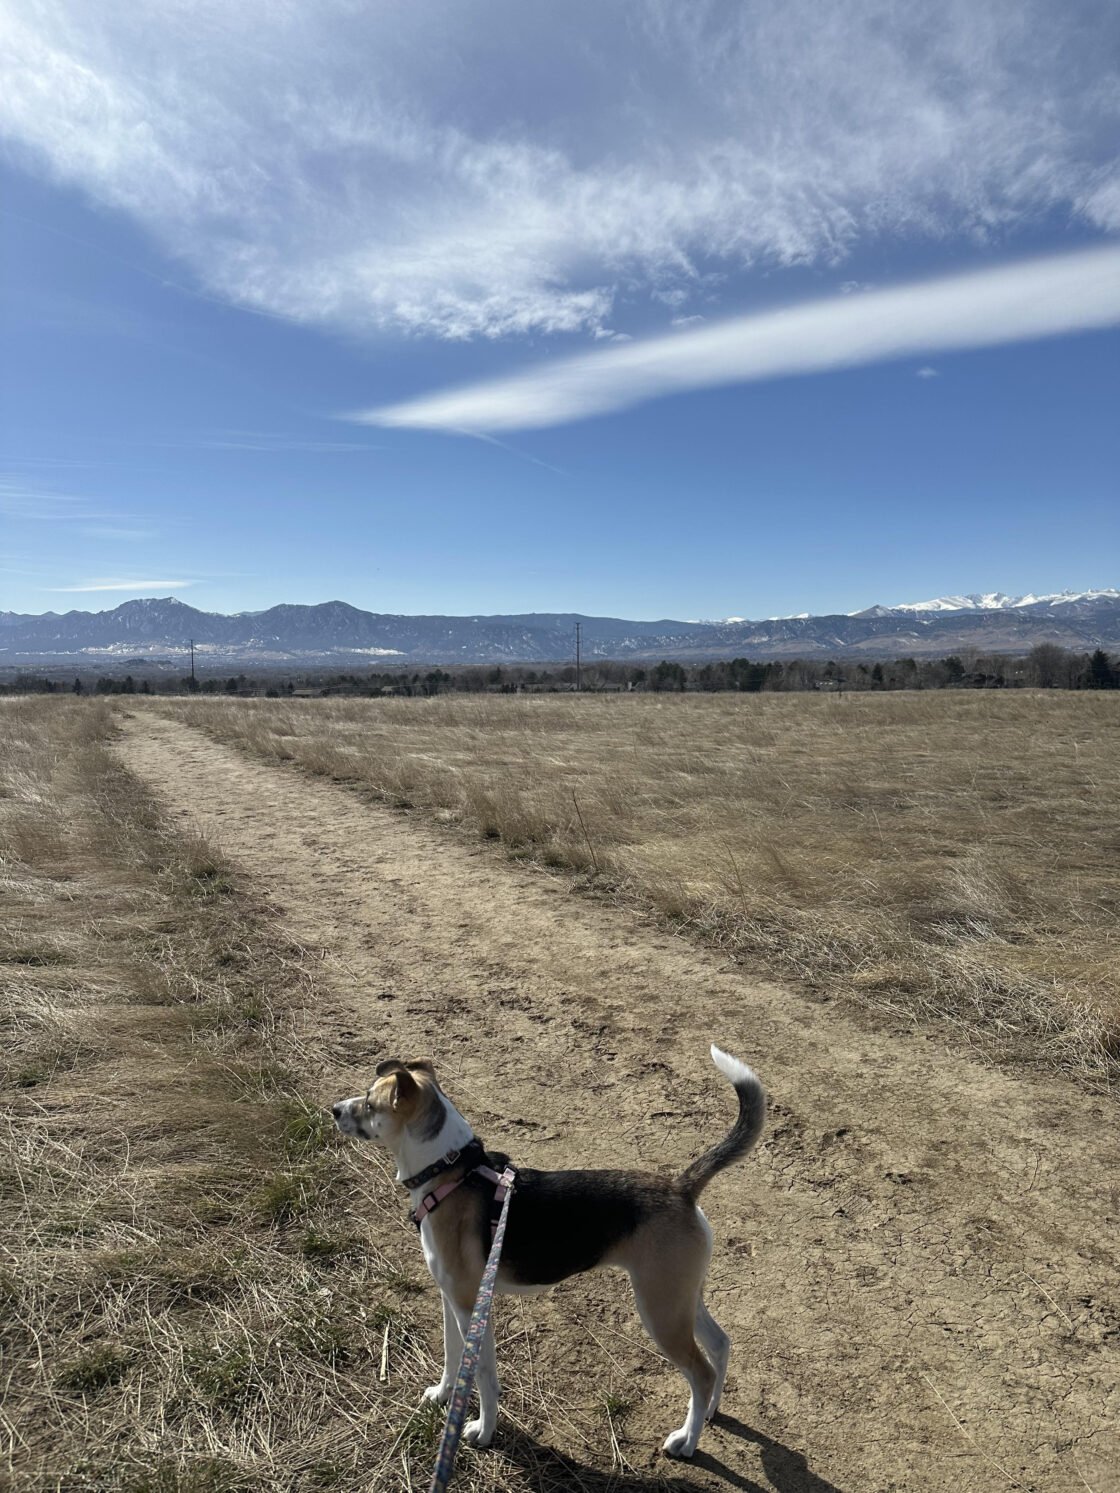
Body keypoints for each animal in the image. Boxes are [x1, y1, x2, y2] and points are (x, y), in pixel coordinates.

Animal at [333, 1045, 770, 1451]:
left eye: (369, 1103)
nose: (335, 1109)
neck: (450, 1171)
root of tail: (682, 1188)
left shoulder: (472, 1307)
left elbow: (484, 1378)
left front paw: (483, 1431)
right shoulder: (451, 1301)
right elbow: (452, 1356)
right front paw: (442, 1396)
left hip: (660, 1310)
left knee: (701, 1372)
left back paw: (687, 1441)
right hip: (682, 1299)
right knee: (720, 1345)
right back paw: (710, 1411)